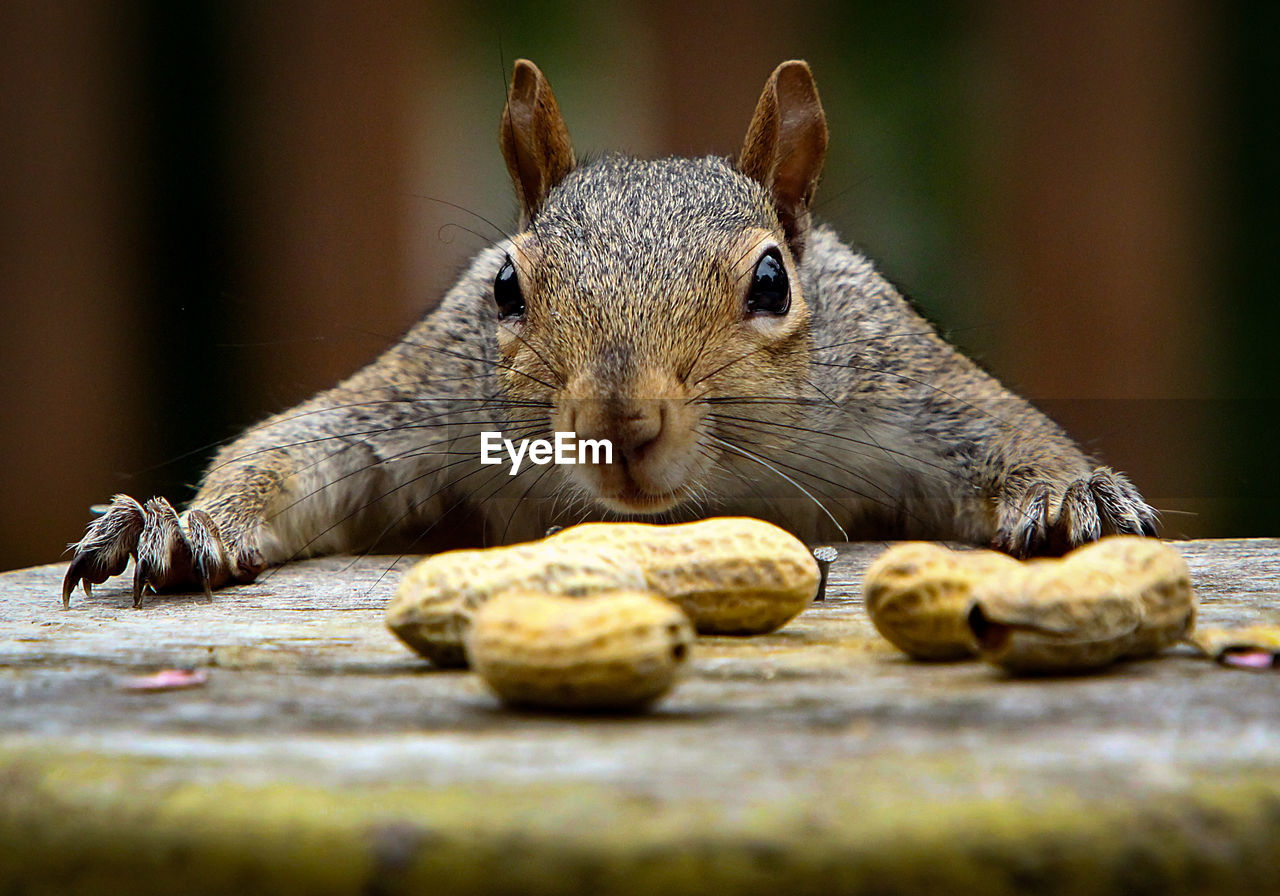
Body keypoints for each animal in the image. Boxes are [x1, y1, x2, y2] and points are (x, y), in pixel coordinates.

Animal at [62, 61, 1162, 609]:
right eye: (506, 286)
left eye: (773, 280)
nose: (618, 421)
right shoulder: (428, 397)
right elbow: (295, 455)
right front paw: (173, 523)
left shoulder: (901, 383)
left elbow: (1006, 431)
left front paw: (1074, 497)